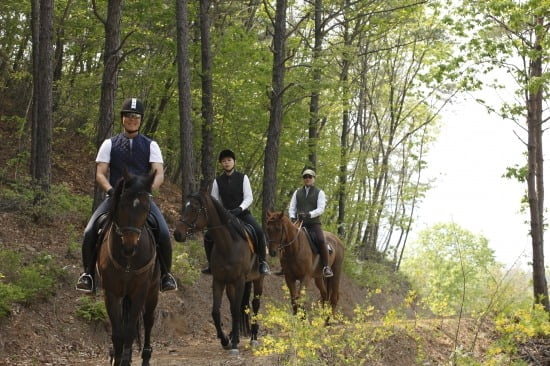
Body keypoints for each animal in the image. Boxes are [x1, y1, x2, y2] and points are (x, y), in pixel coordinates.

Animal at [97, 171, 161, 366]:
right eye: (122, 205)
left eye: (146, 207)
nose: (129, 247)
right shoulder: (111, 292)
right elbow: (118, 333)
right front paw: (116, 358)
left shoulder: (140, 291)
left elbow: (130, 331)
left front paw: (125, 360)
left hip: (152, 291)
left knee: (148, 321)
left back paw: (146, 357)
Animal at [174, 190, 266, 356]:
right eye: (185, 207)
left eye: (194, 208)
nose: (177, 234)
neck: (228, 245)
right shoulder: (218, 281)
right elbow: (216, 312)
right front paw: (225, 340)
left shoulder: (239, 281)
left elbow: (236, 310)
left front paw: (234, 345)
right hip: (230, 285)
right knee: (235, 306)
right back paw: (234, 336)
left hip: (258, 279)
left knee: (255, 305)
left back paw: (254, 338)